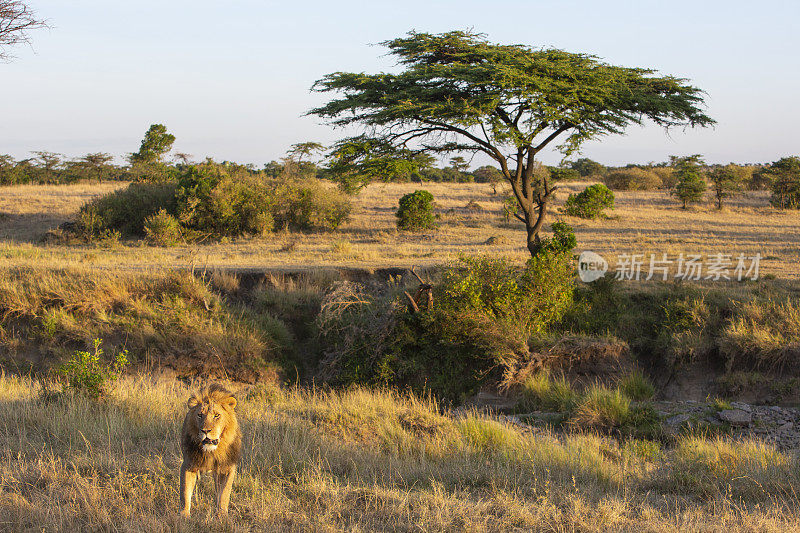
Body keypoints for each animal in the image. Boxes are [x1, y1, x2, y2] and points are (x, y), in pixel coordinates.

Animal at [180, 382, 242, 516]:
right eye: (199, 415)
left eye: (216, 415)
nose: (205, 431)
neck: (212, 450)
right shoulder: (189, 464)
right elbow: (185, 492)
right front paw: (184, 515)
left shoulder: (227, 467)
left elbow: (224, 494)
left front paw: (222, 515)